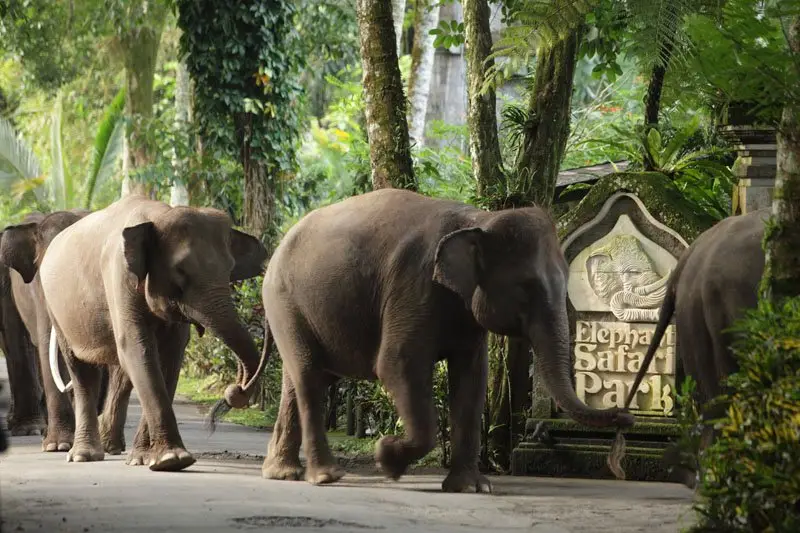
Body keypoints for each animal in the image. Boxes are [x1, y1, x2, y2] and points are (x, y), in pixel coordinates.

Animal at [38, 195, 268, 471]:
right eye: (180, 271)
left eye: (230, 270)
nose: (235, 392)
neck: (158, 215)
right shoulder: (118, 274)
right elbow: (136, 349)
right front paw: (172, 460)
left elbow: (170, 357)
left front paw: (147, 459)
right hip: (55, 308)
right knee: (81, 371)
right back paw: (84, 456)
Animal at [246, 188, 634, 493]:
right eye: (526, 287)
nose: (626, 417)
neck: (480, 219)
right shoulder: (413, 286)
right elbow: (397, 364)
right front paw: (387, 458)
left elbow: (471, 380)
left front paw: (472, 488)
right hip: (284, 301)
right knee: (310, 377)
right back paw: (326, 476)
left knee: (300, 380)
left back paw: (282, 474)